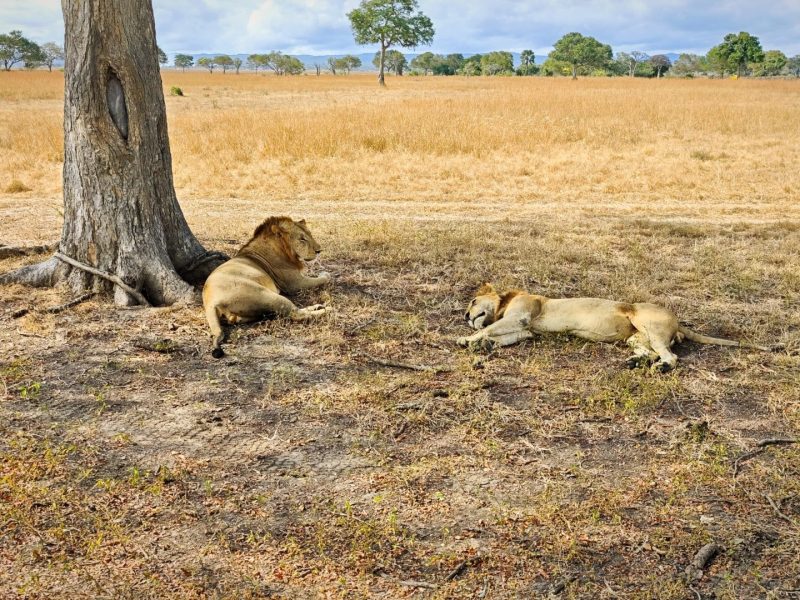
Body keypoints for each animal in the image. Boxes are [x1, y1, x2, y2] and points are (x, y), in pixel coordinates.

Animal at [203, 216, 332, 358]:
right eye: (302, 239)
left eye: (310, 234)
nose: (319, 251)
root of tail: (211, 302)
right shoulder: (294, 283)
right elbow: (323, 278)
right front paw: (325, 273)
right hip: (268, 295)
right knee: (296, 313)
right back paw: (326, 309)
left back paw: (318, 306)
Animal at [458, 284, 771, 371]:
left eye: (473, 300)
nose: (465, 315)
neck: (504, 302)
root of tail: (678, 320)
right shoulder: (525, 330)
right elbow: (499, 336)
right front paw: (483, 344)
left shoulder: (521, 317)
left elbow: (486, 328)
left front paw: (467, 339)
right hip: (637, 337)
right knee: (651, 352)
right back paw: (634, 363)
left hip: (643, 320)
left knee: (670, 357)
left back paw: (661, 368)